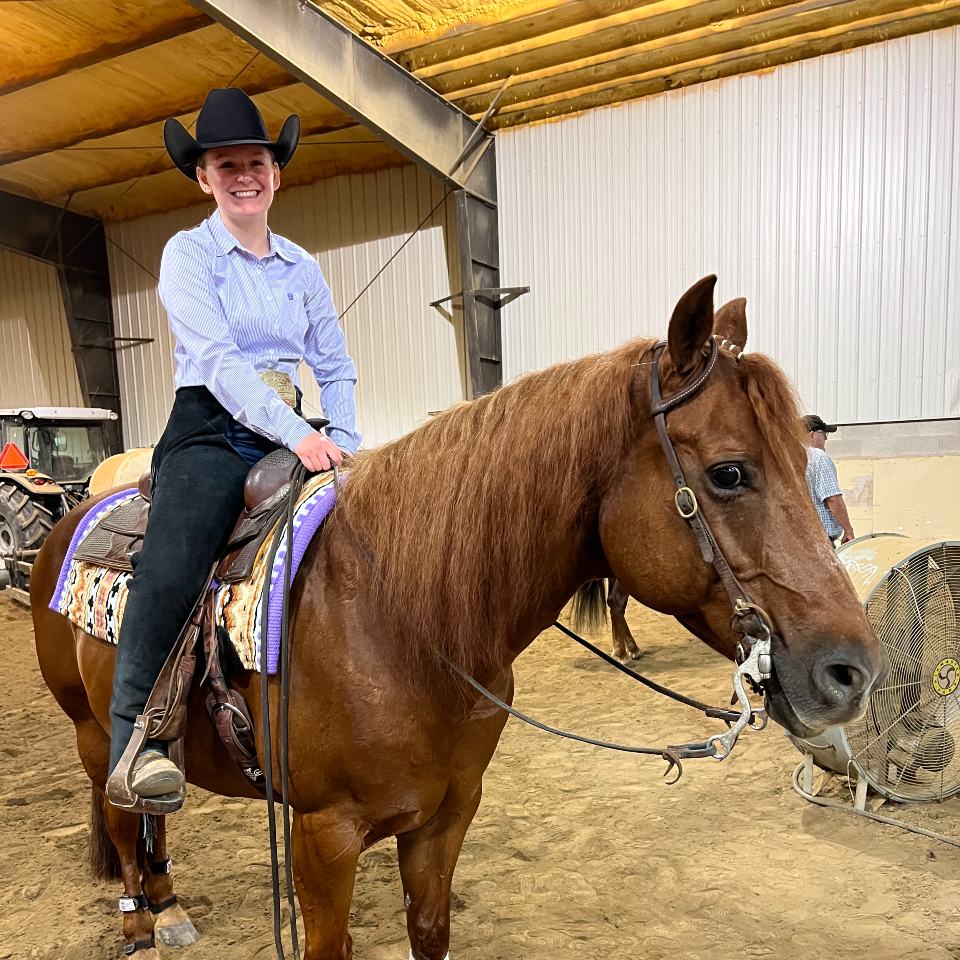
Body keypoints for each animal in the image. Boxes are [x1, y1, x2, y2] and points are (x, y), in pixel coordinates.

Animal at [31, 278, 884, 960]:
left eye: (803, 461)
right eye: (730, 472)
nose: (852, 671)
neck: (399, 622)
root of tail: (74, 514)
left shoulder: (444, 819)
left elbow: (430, 930)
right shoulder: (322, 839)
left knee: (149, 823)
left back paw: (168, 904)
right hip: (90, 735)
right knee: (120, 823)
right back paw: (142, 922)